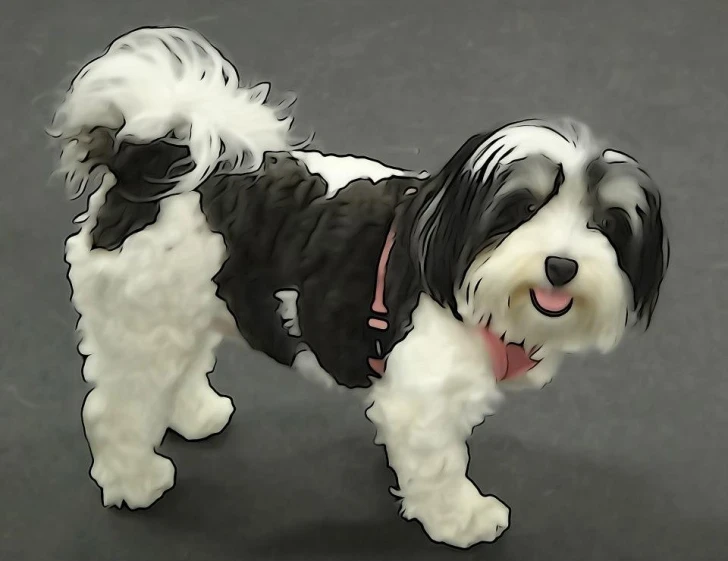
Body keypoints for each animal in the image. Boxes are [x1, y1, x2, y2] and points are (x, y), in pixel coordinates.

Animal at [48, 26, 668, 548]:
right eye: (522, 209)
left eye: (607, 224)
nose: (561, 265)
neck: (449, 258)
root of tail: (152, 163)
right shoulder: (422, 399)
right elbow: (441, 468)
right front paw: (462, 518)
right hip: (140, 320)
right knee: (116, 409)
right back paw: (134, 481)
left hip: (182, 307)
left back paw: (194, 413)